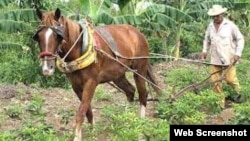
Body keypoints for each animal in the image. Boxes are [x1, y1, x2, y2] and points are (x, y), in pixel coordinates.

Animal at [32, 8, 160, 141]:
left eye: (58, 36)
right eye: (38, 37)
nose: (47, 69)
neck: (80, 49)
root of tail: (137, 33)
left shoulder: (91, 82)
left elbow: (81, 111)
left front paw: (77, 137)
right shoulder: (76, 85)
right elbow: (87, 110)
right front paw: (92, 132)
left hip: (140, 70)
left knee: (143, 94)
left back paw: (140, 123)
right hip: (117, 75)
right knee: (130, 91)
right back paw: (126, 118)